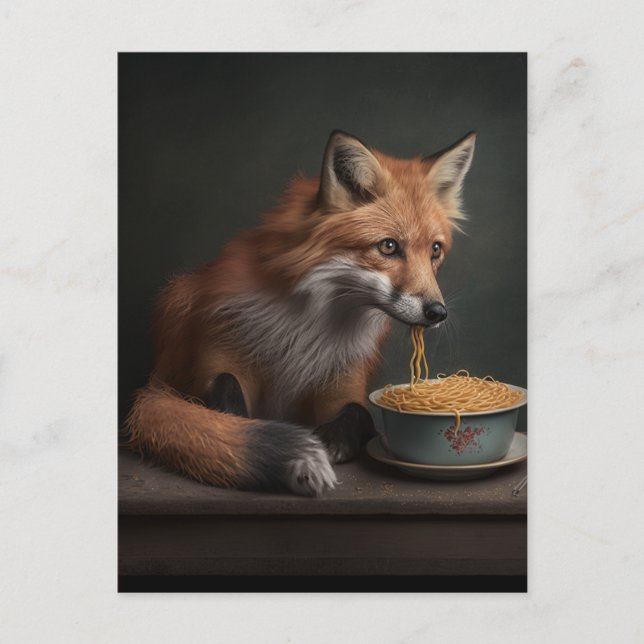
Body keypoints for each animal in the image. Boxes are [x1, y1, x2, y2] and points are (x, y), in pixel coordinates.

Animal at [126, 129, 476, 496]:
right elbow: (223, 396)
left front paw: (330, 441)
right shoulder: (216, 357)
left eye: (435, 250)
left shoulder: (343, 382)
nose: (437, 313)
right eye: (388, 246)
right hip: (175, 303)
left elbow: (359, 413)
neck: (307, 327)